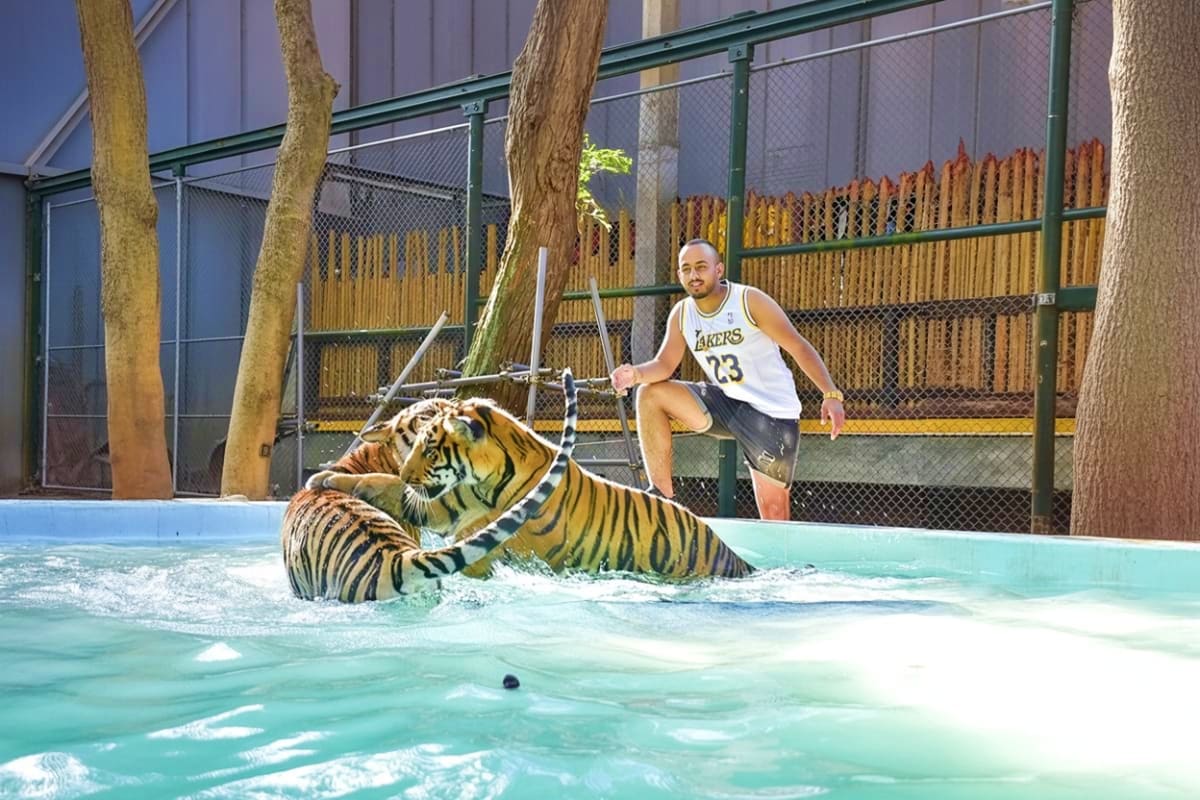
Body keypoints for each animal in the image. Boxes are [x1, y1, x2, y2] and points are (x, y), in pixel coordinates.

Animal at [308, 388, 755, 581]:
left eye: (430, 446)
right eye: (416, 436)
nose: (408, 474)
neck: (486, 481)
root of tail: (736, 558)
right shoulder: (452, 504)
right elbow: (384, 485)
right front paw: (326, 476)